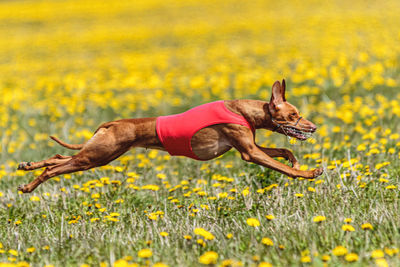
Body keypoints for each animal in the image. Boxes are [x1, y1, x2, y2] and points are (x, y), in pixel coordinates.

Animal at [17, 78, 324, 194]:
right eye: (294, 115)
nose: (313, 127)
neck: (241, 109)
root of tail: (112, 122)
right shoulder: (250, 152)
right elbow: (284, 168)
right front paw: (309, 173)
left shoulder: (249, 146)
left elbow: (285, 153)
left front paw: (296, 160)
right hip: (96, 156)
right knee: (56, 167)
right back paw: (29, 185)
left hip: (100, 155)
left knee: (58, 157)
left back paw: (28, 166)